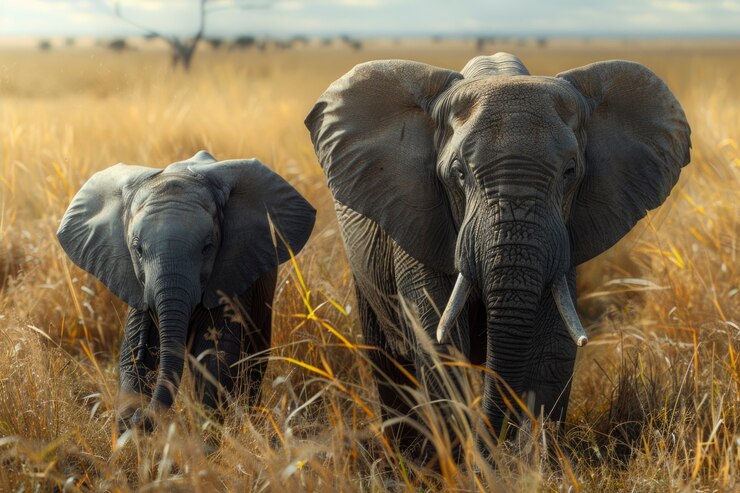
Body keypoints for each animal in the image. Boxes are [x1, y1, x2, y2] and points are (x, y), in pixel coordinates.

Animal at [57, 151, 316, 430]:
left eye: (207, 247)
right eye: (137, 249)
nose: (141, 418)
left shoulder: (227, 277)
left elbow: (215, 359)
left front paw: (207, 437)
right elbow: (134, 356)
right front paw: (127, 431)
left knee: (255, 357)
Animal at [306, 53, 690, 452]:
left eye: (569, 171)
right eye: (459, 173)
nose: (490, 443)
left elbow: (552, 347)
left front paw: (534, 460)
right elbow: (440, 342)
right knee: (388, 360)